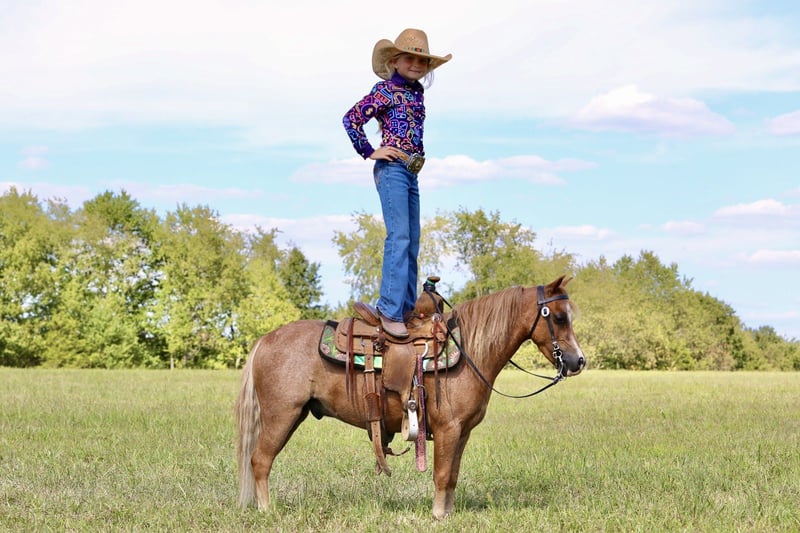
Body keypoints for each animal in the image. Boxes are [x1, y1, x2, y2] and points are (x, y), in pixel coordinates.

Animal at [236, 275, 586, 519]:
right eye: (558, 317)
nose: (578, 361)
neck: (468, 351)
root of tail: (265, 340)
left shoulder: (462, 433)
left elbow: (452, 475)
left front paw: (448, 513)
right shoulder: (448, 429)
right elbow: (441, 474)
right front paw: (438, 515)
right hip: (282, 416)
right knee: (260, 460)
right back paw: (267, 510)